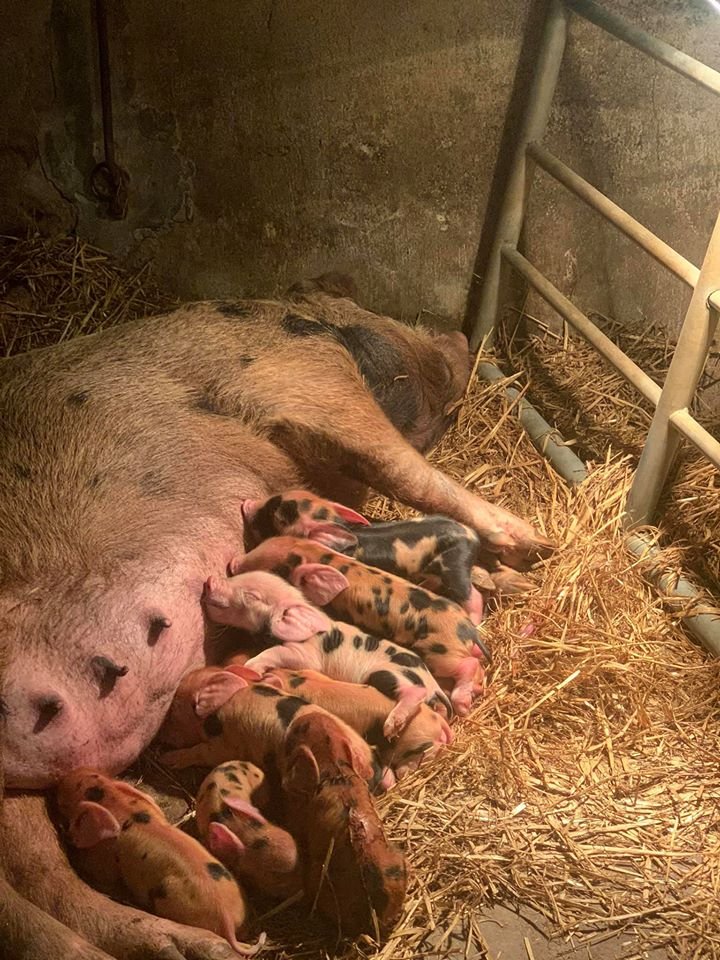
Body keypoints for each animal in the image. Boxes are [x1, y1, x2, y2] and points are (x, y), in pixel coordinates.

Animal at [55, 769, 262, 956]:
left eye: (71, 794)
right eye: (95, 775)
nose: (62, 778)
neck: (117, 804)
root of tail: (226, 918)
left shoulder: (105, 857)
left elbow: (102, 874)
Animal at [157, 664, 395, 794]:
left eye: (174, 709)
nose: (160, 737)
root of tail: (372, 767)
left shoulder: (226, 744)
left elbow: (202, 752)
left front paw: (169, 759)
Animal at [203, 571, 452, 737]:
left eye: (251, 596)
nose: (209, 580)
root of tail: (432, 682)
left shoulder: (306, 653)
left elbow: (276, 652)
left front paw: (251, 668)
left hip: (389, 673)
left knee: (415, 692)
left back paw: (390, 728)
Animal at [231, 537, 489, 715]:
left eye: (279, 569)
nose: (233, 563)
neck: (321, 556)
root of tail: (468, 629)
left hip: (439, 654)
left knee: (469, 665)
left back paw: (462, 704)